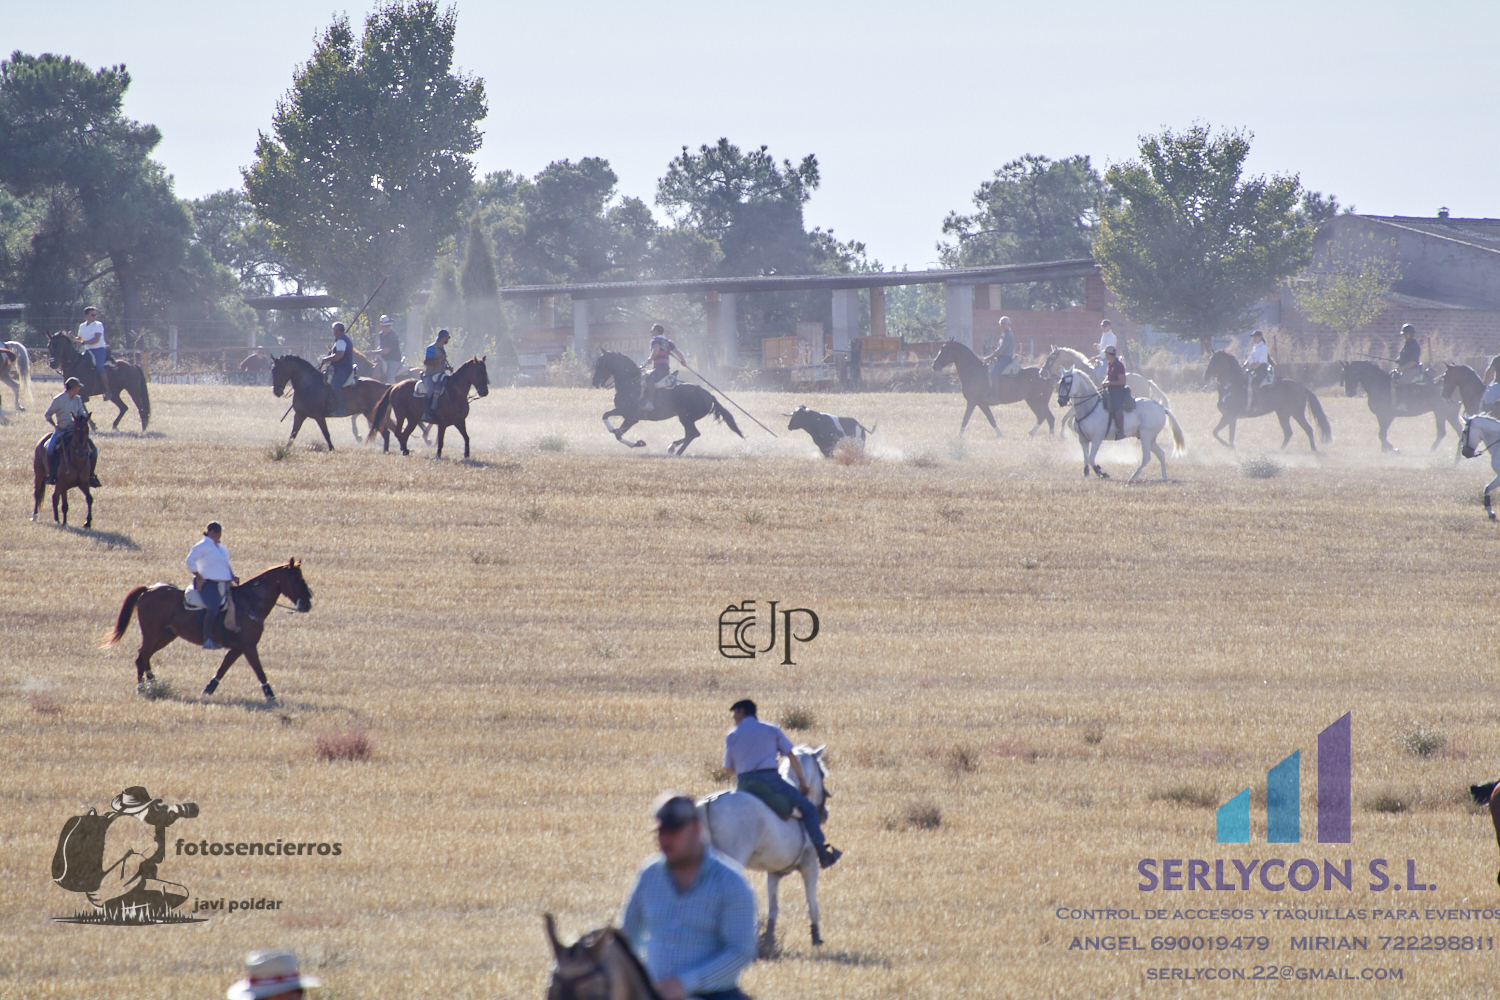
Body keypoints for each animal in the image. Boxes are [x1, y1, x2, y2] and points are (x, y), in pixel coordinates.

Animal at [101, 559, 313, 702]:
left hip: (166, 635)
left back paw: (154, 684)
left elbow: (223, 668)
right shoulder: (248, 646)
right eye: (296, 579)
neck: (249, 602)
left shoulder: (237, 648)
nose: (307, 604)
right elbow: (259, 670)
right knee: (141, 657)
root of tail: (148, 590)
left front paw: (208, 690)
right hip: (152, 634)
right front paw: (271, 696)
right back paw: (142, 689)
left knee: (145, 656)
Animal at [591, 350, 744, 455]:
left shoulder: (625, 411)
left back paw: (676, 451)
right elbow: (618, 434)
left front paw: (616, 430)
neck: (631, 383)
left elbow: (605, 416)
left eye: (600, 363)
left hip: (685, 418)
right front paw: (638, 443)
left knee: (693, 434)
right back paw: (673, 447)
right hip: (687, 419)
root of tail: (710, 395)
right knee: (692, 434)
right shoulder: (631, 418)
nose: (595, 383)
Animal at [701, 745, 831, 957]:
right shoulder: (810, 867)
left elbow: (773, 908)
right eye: (822, 772)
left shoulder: (773, 874)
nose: (824, 814)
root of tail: (709, 803)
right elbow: (812, 904)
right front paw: (816, 938)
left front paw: (769, 940)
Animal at [1057, 367, 1185, 481]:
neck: (1090, 406)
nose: (1060, 401)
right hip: (1150, 439)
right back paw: (1164, 477)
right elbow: (1086, 457)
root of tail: (1162, 408)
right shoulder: (1082, 440)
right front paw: (1087, 472)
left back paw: (1133, 477)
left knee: (1146, 458)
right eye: (1059, 382)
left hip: (1146, 436)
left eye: (1067, 383)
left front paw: (1102, 473)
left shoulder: (1097, 439)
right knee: (1161, 454)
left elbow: (1091, 459)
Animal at [1202, 350, 1332, 451]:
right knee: (1288, 432)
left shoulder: (1230, 416)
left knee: (1308, 429)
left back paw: (1313, 450)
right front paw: (1229, 446)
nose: (1206, 377)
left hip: (1297, 413)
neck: (1231, 386)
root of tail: (1302, 387)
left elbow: (1226, 434)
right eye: (1210, 360)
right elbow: (1218, 433)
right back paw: (1281, 451)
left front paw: (1229, 446)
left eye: (1215, 362)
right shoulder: (1228, 416)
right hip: (1283, 414)